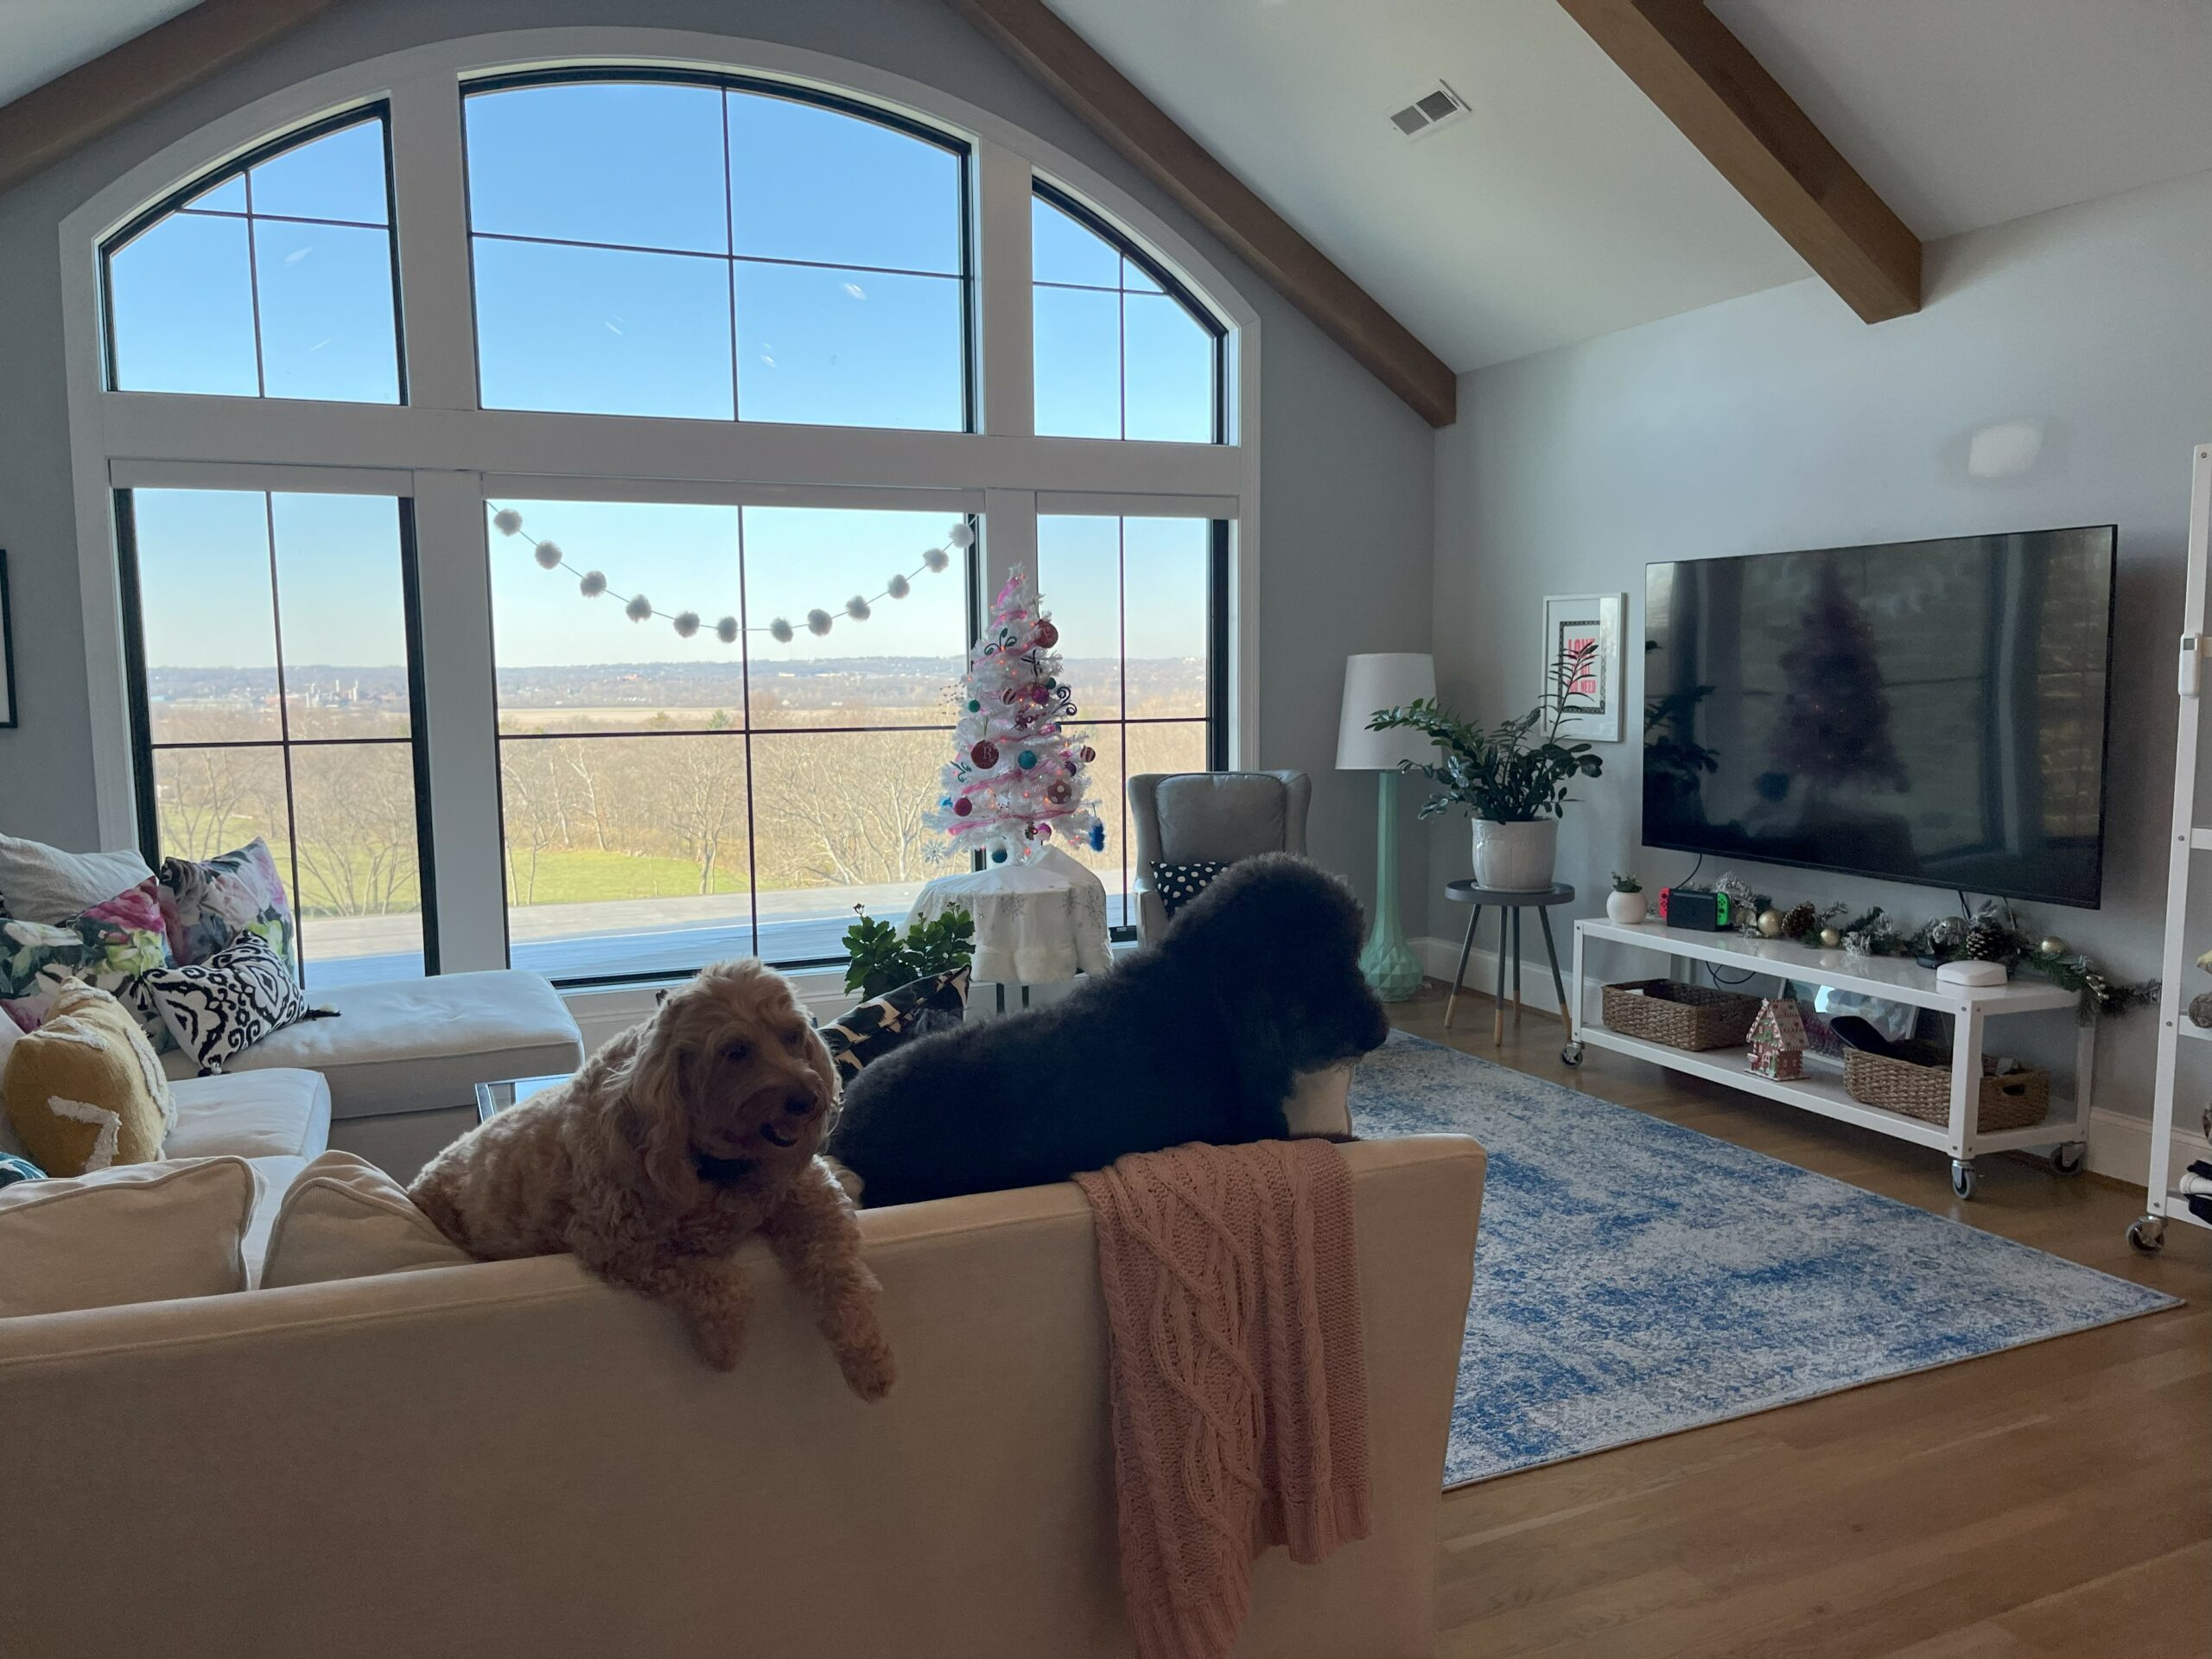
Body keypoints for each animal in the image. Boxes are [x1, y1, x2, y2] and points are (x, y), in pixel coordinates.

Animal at [411, 960, 893, 1407]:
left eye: (793, 1035)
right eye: (736, 1051)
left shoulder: (811, 1196)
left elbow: (840, 1270)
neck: (720, 1166)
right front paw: (723, 1345)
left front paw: (869, 1362)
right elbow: (720, 1283)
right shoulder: (621, 1245)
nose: (808, 1101)